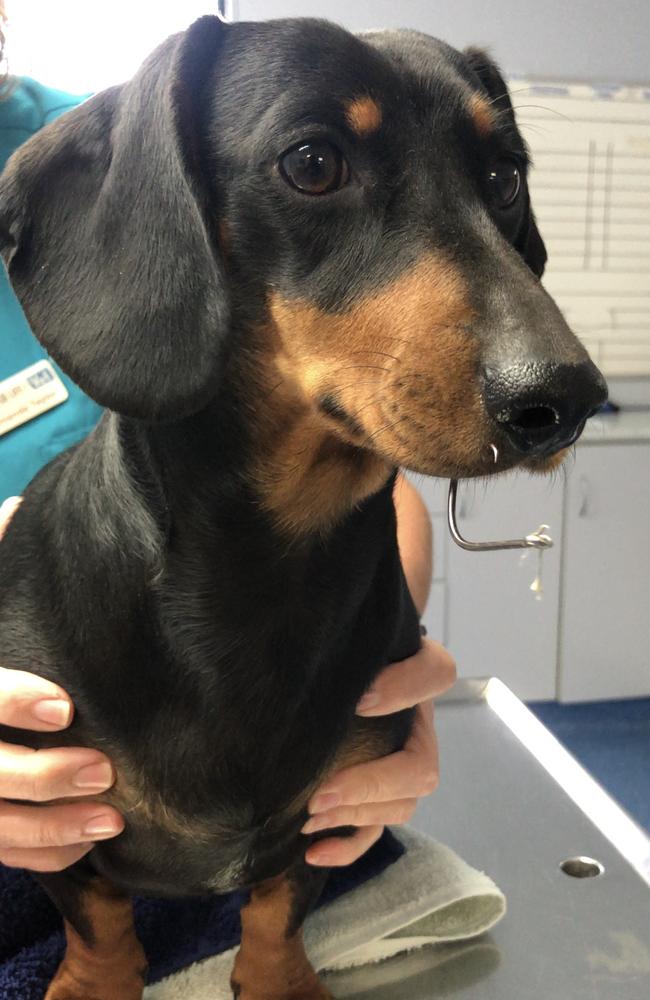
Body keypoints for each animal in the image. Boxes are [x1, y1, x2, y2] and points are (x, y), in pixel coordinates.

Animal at [1, 13, 608, 1000]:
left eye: (504, 177)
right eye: (314, 164)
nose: (567, 398)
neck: (263, 572)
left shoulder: (336, 805)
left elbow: (279, 903)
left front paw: (278, 978)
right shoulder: (55, 809)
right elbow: (96, 914)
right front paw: (97, 982)